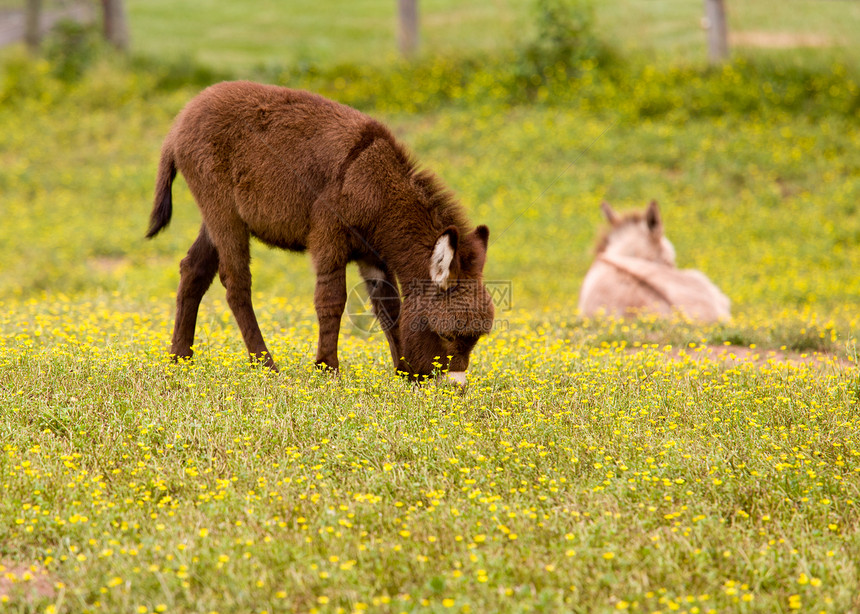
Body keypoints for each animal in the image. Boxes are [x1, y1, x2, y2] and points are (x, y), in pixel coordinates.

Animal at [147, 79, 494, 382]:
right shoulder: (329, 238)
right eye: (448, 334)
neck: (373, 184)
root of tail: (181, 120)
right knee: (236, 284)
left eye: (475, 338)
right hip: (223, 211)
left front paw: (402, 371)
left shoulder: (373, 254)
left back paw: (180, 359)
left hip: (216, 216)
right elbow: (331, 300)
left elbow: (389, 306)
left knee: (193, 269)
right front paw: (327, 369)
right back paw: (265, 365)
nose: (455, 388)